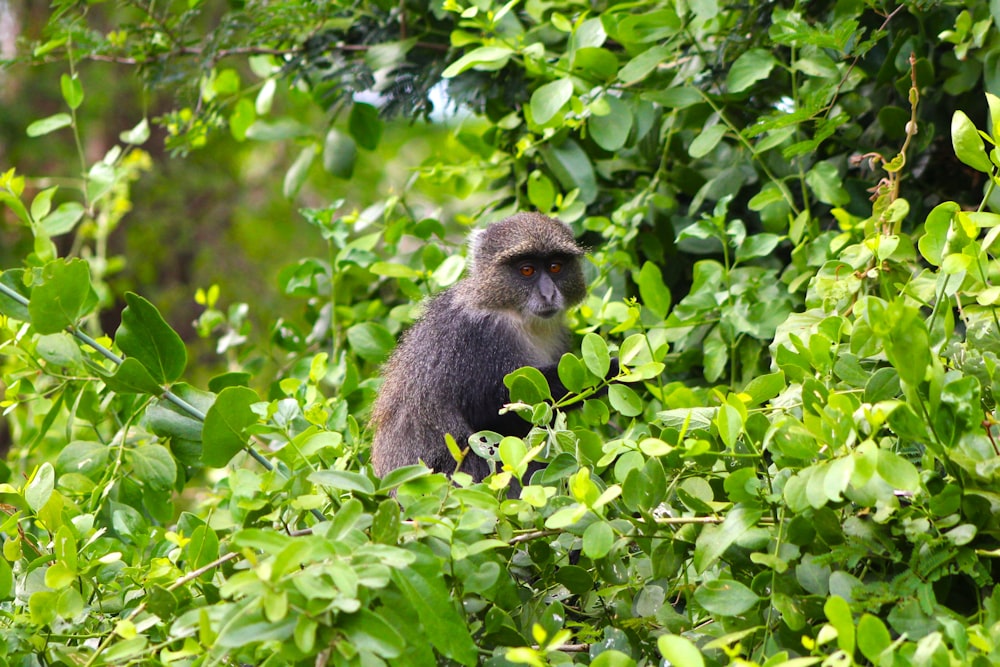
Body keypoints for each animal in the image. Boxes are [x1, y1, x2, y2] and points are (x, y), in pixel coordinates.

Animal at [374, 213, 596, 486]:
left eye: (555, 267)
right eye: (527, 270)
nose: (548, 294)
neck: (516, 315)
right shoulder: (477, 337)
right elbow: (489, 412)